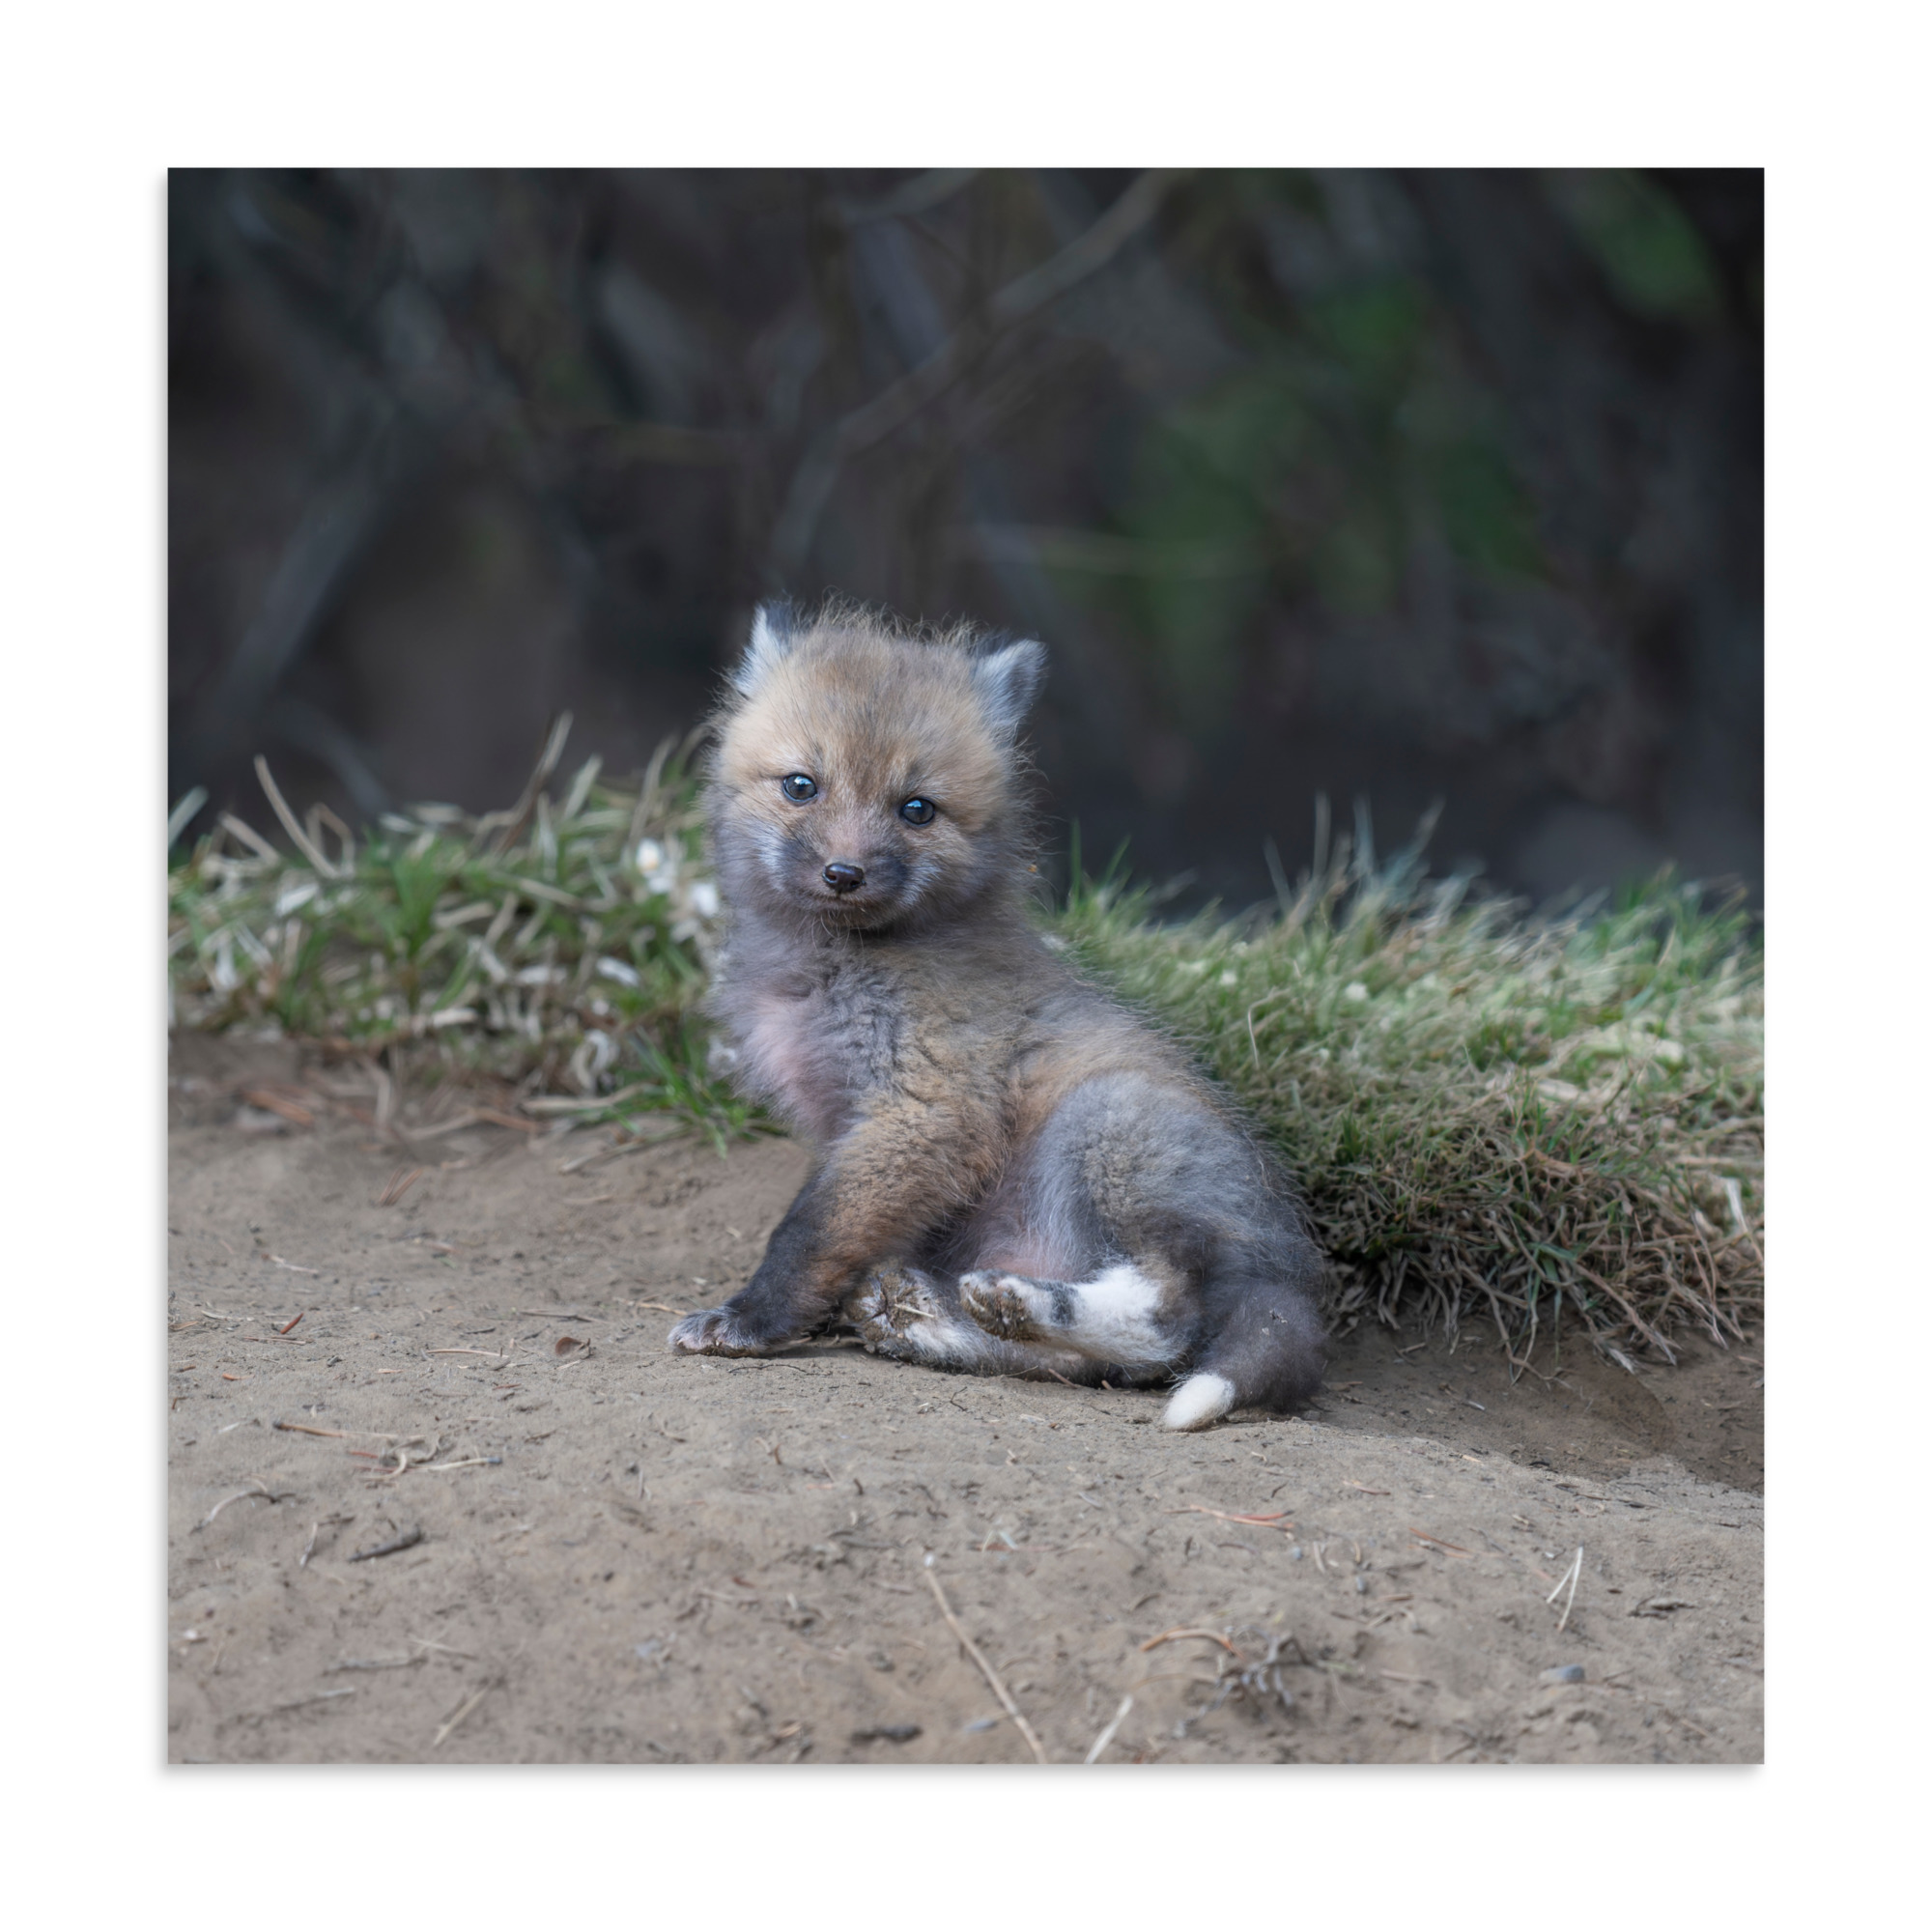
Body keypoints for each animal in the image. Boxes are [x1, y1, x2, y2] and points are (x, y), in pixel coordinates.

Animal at [668, 601, 1327, 1429]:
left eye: (917, 809)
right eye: (800, 786)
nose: (844, 873)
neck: (834, 968)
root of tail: (1290, 1271)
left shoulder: (925, 1108)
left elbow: (809, 1232)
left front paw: (750, 1320)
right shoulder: (855, 1125)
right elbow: (835, 1231)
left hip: (1105, 1125)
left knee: (1167, 1323)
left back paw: (1018, 1304)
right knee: (1090, 1366)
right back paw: (934, 1320)